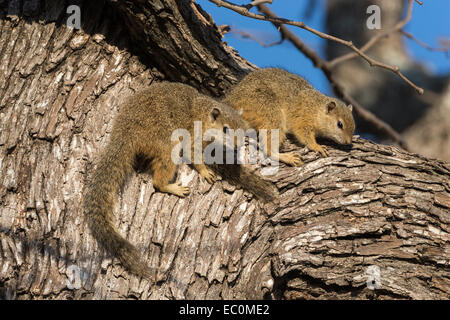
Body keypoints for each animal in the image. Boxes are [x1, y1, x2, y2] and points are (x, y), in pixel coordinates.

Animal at [82, 81, 251, 278]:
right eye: (225, 129)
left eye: (243, 128)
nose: (239, 145)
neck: (204, 116)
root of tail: (126, 132)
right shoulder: (194, 135)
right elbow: (192, 153)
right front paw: (205, 171)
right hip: (166, 143)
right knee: (158, 181)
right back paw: (172, 188)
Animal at [222, 68, 356, 166]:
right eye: (340, 124)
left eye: (354, 126)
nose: (348, 142)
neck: (316, 108)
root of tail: (232, 100)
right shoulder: (302, 117)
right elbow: (303, 134)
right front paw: (317, 146)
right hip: (269, 111)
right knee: (268, 148)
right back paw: (287, 157)